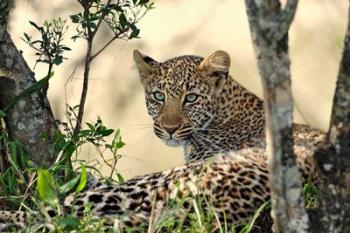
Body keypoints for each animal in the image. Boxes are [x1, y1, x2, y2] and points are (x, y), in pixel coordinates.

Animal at [0, 50, 324, 232]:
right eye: (158, 96)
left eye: (190, 98)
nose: (169, 129)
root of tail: (224, 208)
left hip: (154, 184)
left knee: (53, 211)